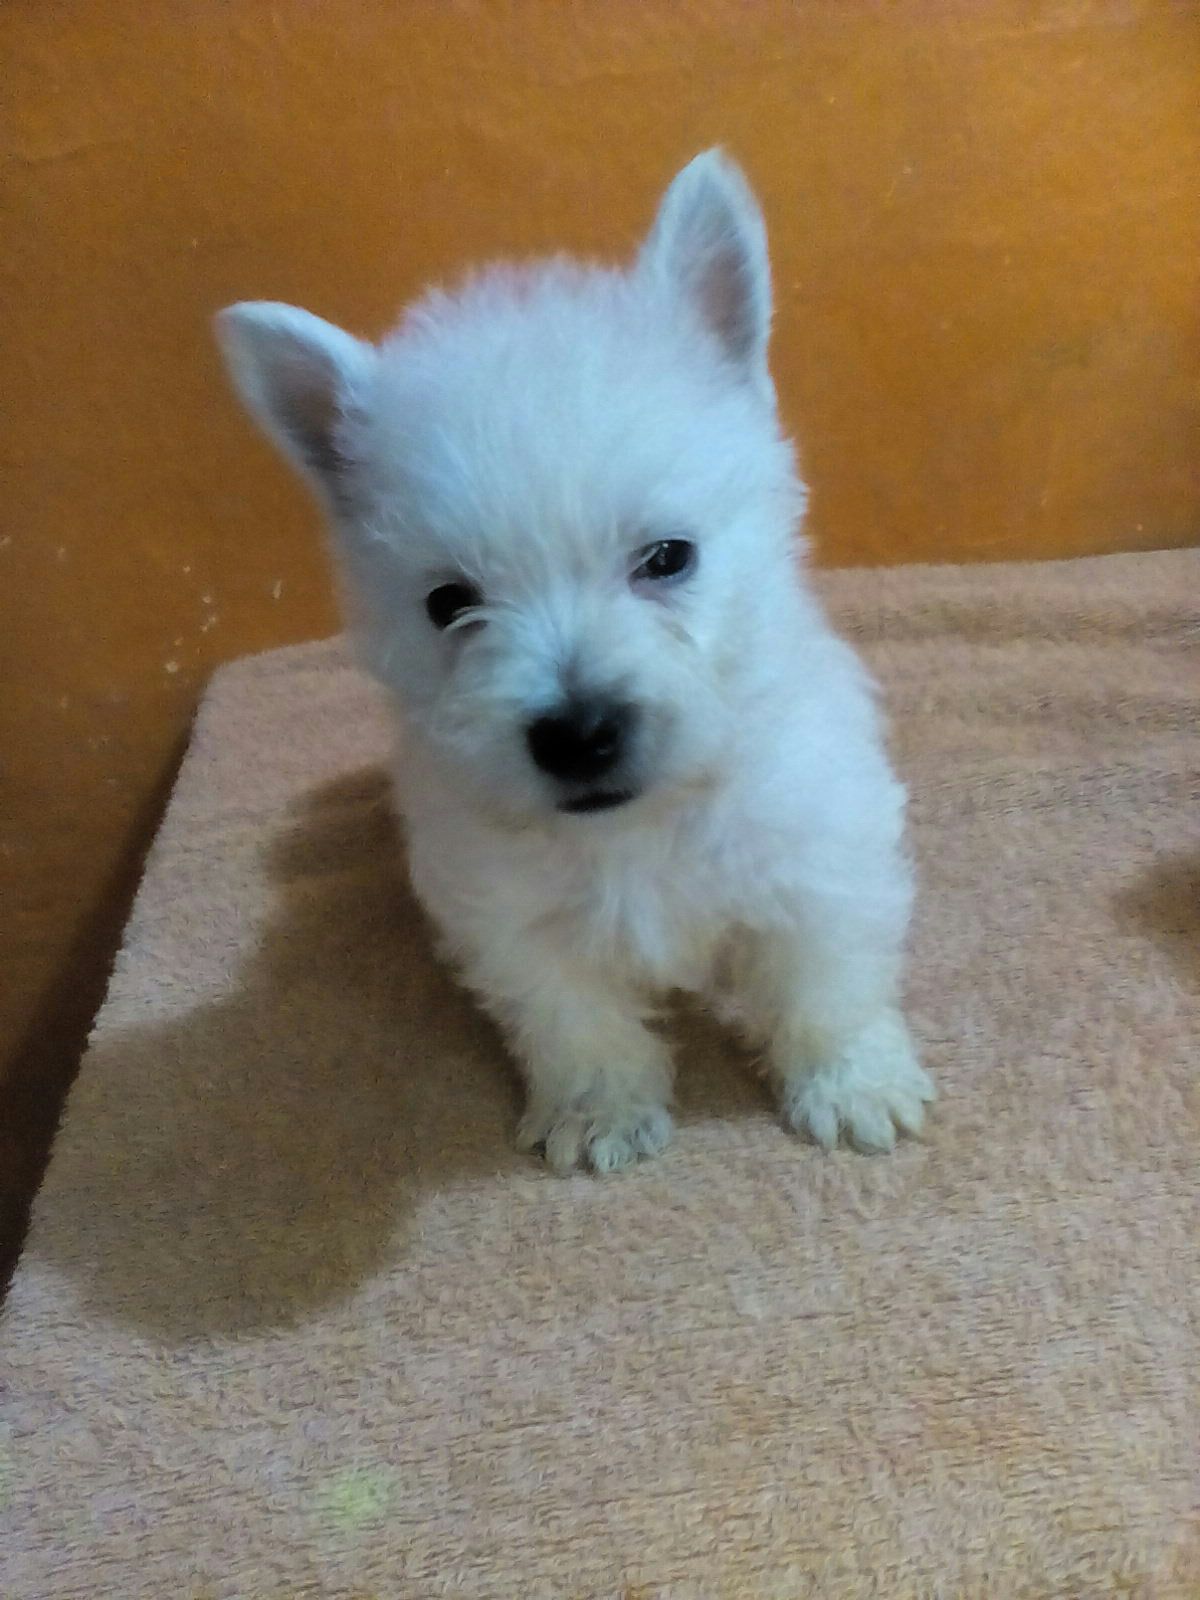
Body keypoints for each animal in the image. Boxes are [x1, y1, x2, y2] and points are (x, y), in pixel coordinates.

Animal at [216, 152, 934, 1177]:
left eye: (668, 557)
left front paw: (851, 1085)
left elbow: (824, 980)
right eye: (449, 603)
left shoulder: (817, 855)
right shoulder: (511, 917)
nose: (578, 733)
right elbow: (573, 1019)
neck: (637, 825)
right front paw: (601, 1115)